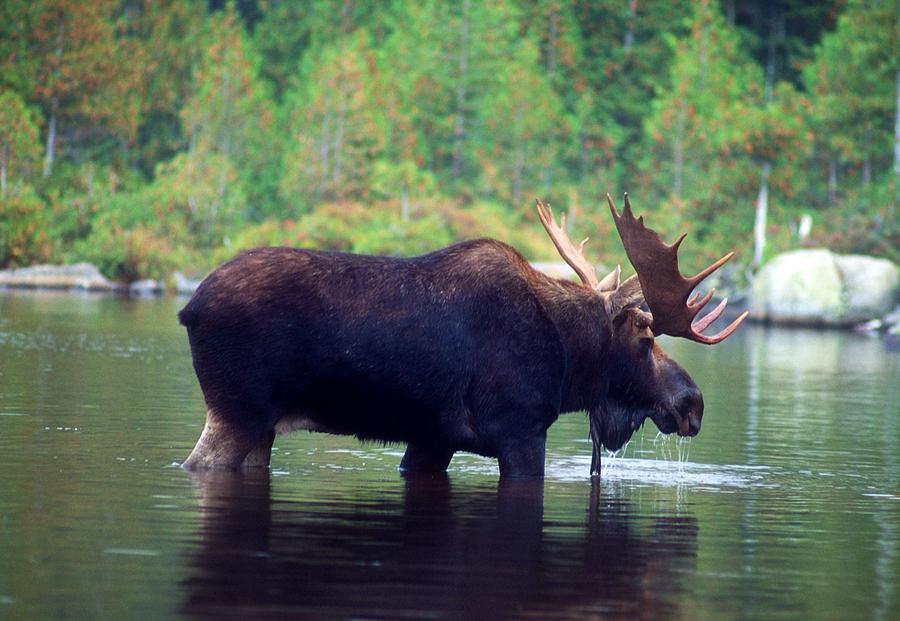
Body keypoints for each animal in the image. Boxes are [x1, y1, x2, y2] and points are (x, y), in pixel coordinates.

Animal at [178, 194, 744, 474]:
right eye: (646, 339)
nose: (692, 402)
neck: (569, 363)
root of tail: (189, 308)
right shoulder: (519, 428)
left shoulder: (434, 439)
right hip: (238, 411)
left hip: (261, 425)